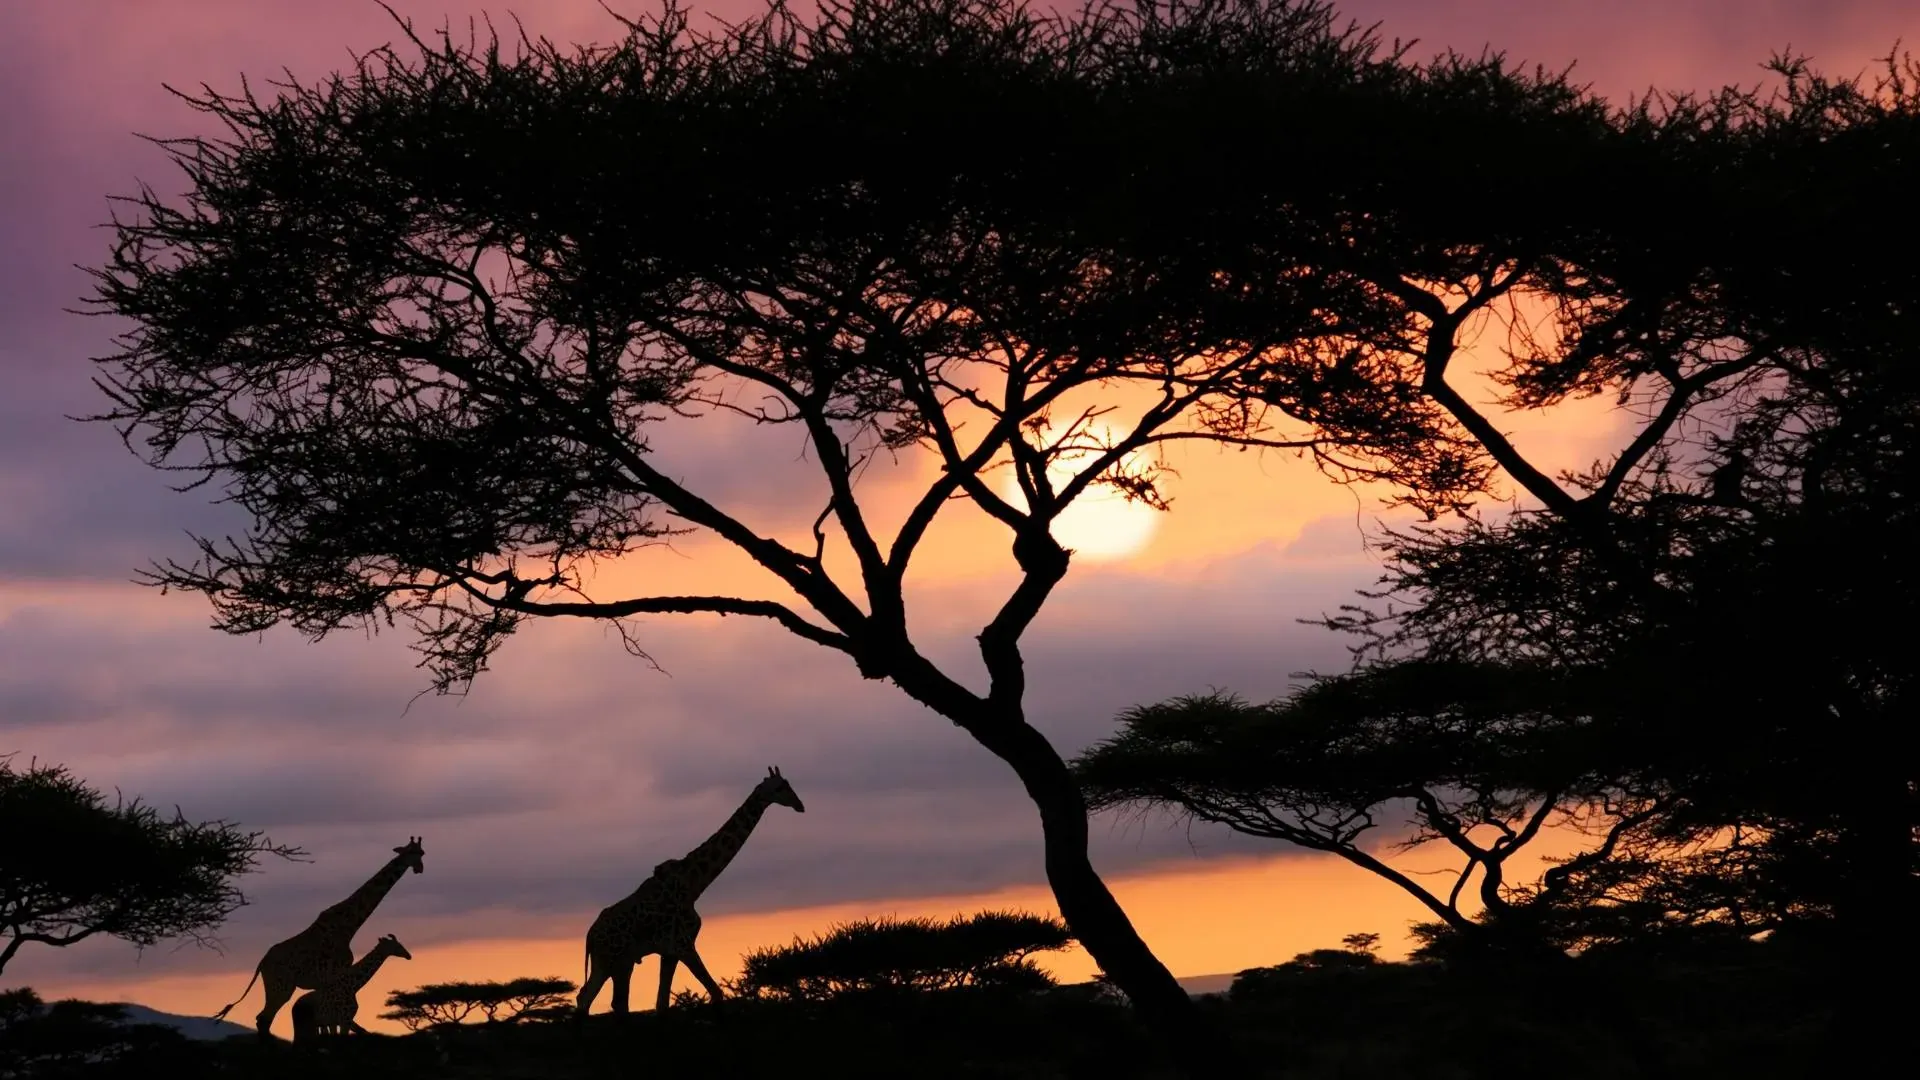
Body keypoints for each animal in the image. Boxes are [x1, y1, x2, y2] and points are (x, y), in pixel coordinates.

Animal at [212, 837, 425, 1036]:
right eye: (414, 853)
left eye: (422, 852)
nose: (420, 869)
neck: (348, 927)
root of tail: (261, 964)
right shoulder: (334, 975)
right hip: (281, 987)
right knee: (264, 1018)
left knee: (263, 1019)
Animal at [576, 767, 804, 1017]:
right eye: (780, 787)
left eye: (788, 784)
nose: (799, 805)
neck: (694, 885)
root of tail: (590, 935)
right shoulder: (683, 944)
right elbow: (715, 992)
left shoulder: (670, 952)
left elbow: (662, 1003)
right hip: (612, 960)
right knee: (595, 999)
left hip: (615, 963)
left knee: (599, 1000)